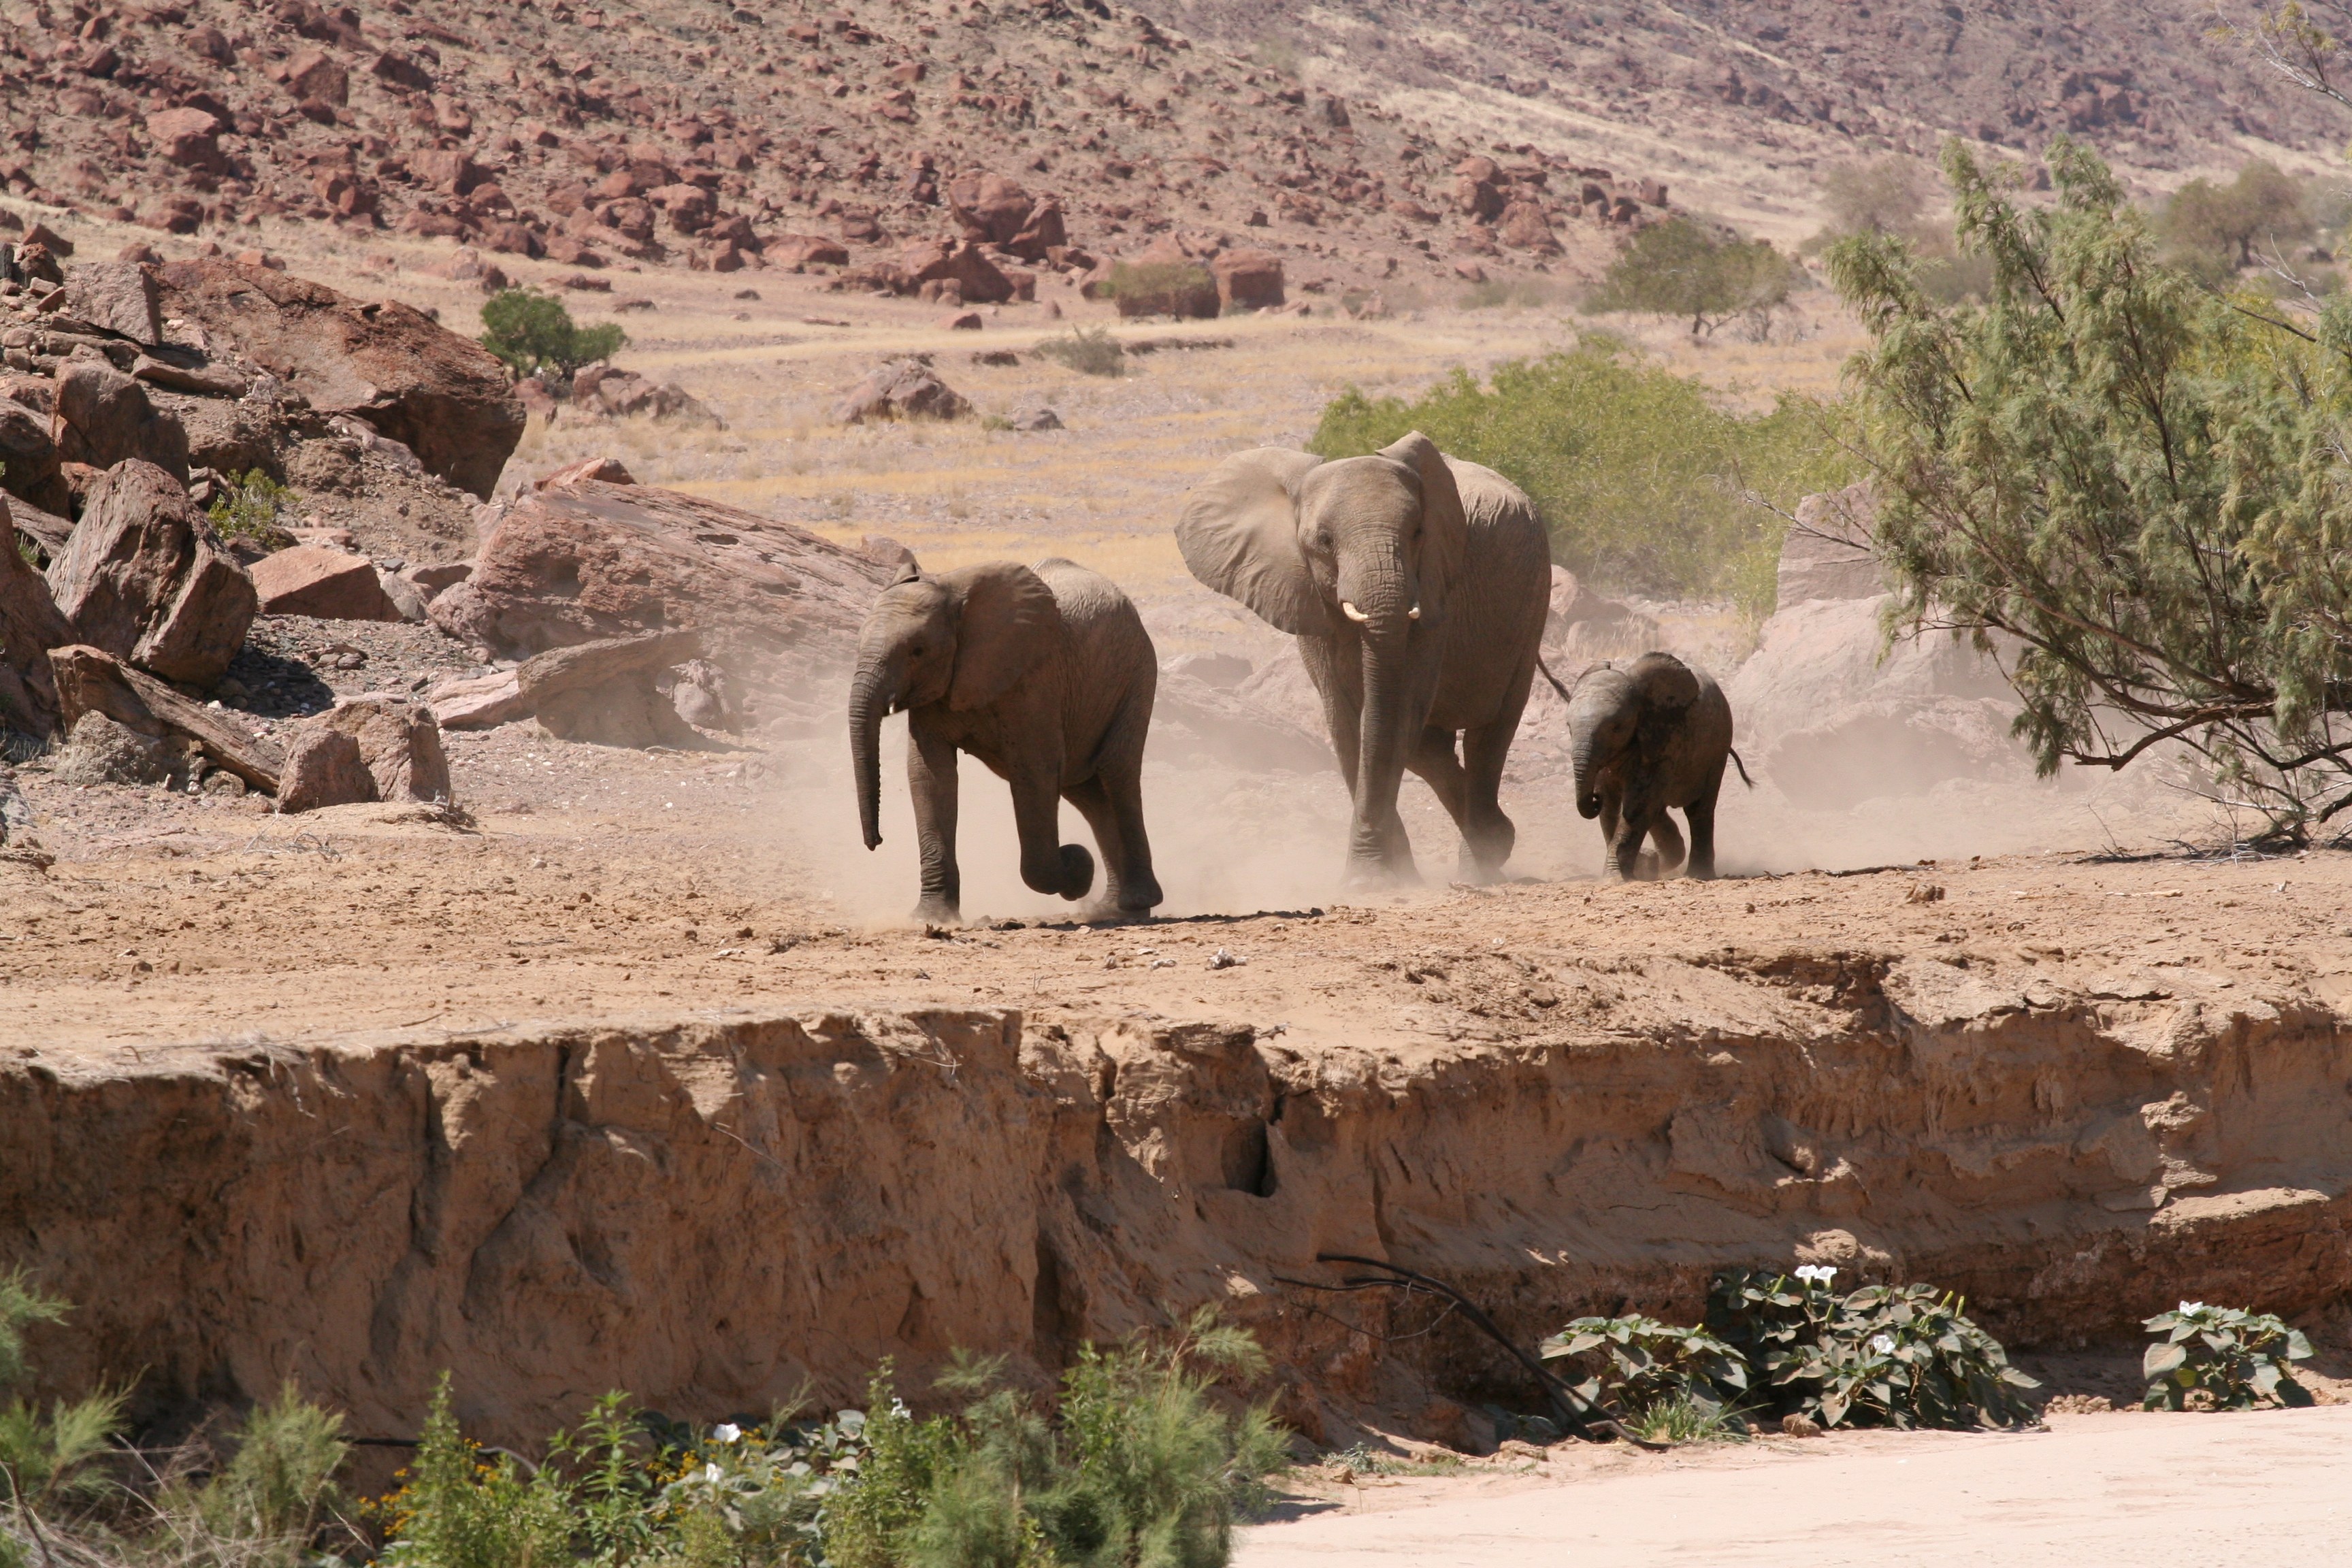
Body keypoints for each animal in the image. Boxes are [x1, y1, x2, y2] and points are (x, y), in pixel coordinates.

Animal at [849, 557, 1163, 923]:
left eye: (918, 651)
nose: (876, 842)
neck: (953, 594)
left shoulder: (1033, 678)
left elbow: (1035, 771)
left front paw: (1077, 865)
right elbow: (929, 775)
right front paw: (932, 919)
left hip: (1137, 674)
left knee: (1116, 772)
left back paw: (1134, 903)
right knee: (1088, 793)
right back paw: (1110, 909)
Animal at [1176, 430, 1551, 885]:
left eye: (1418, 532)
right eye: (1324, 541)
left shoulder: (1436, 591)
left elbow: (1394, 716)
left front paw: (1373, 878)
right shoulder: (1309, 598)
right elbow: (1346, 723)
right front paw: (1382, 879)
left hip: (1532, 601)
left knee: (1489, 732)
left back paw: (1480, 865)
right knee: (1428, 747)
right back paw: (1494, 841)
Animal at [1558, 651, 1748, 881]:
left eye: (1616, 727)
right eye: (1568, 727)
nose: (1594, 798)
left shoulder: (1663, 737)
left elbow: (1637, 803)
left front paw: (1616, 878)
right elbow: (1610, 805)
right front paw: (1638, 866)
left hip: (1718, 746)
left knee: (1699, 809)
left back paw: (1697, 874)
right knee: (1658, 808)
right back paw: (1657, 862)